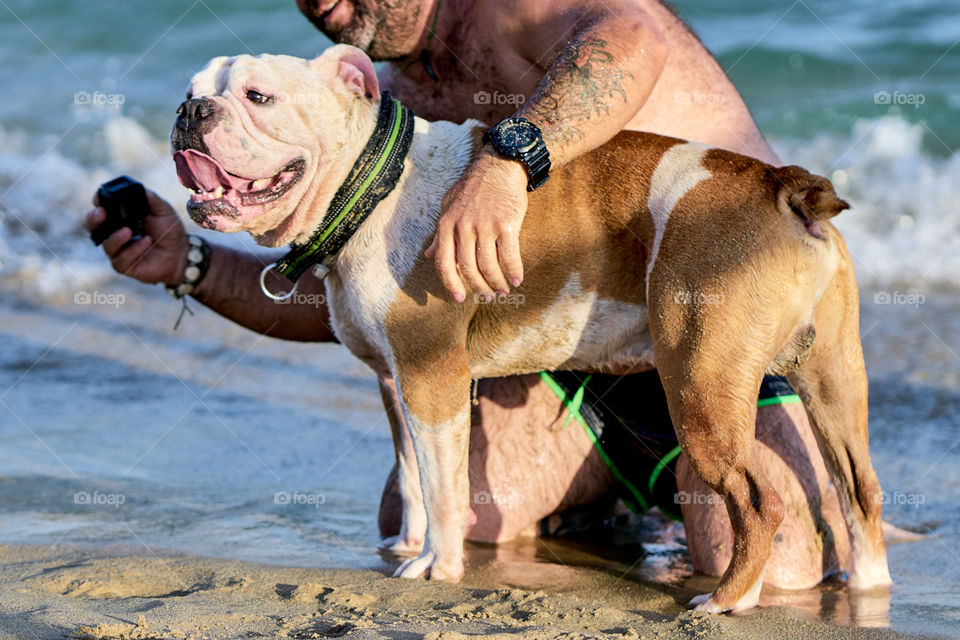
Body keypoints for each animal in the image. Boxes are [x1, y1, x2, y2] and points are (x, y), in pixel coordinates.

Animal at [171, 46, 892, 616]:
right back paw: (867, 589)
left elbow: (443, 484)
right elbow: (411, 477)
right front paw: (405, 546)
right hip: (832, 383)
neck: (372, 185)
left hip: (701, 389)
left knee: (758, 499)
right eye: (190, 91)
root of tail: (782, 186)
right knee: (859, 490)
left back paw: (727, 600)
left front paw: (435, 566)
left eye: (258, 96)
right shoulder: (394, 383)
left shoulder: (431, 379)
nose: (190, 112)